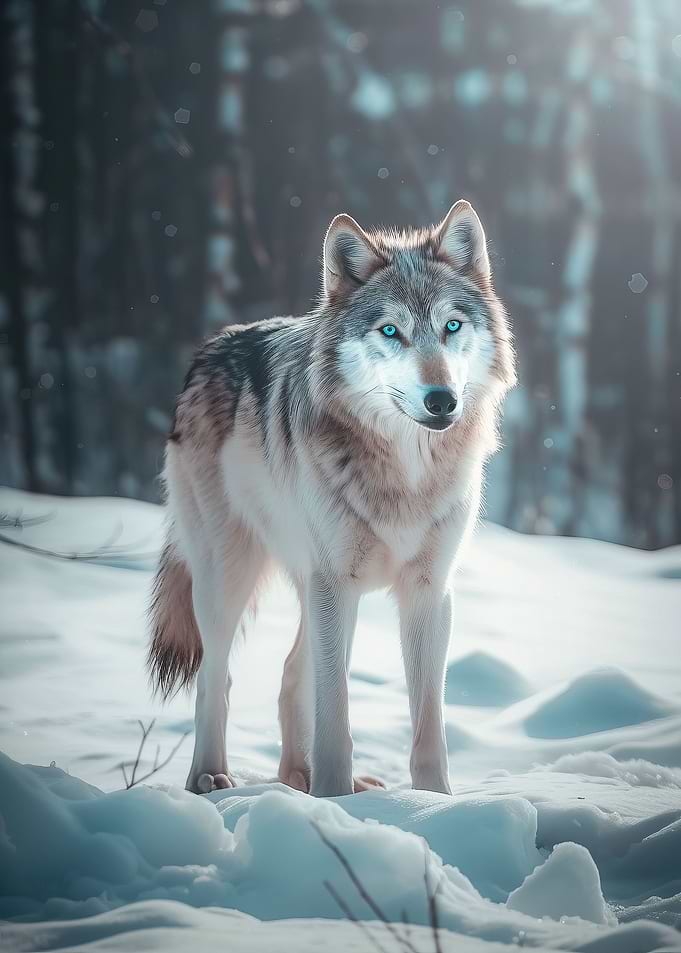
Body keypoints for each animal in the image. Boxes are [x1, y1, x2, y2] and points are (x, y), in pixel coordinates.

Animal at [148, 200, 515, 797]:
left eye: (451, 326)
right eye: (391, 331)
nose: (441, 399)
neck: (405, 473)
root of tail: (209, 349)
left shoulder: (428, 591)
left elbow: (427, 722)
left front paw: (433, 804)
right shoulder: (335, 585)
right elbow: (336, 711)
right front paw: (335, 797)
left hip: (316, 588)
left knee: (291, 672)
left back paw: (297, 779)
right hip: (231, 578)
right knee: (216, 677)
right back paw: (211, 778)